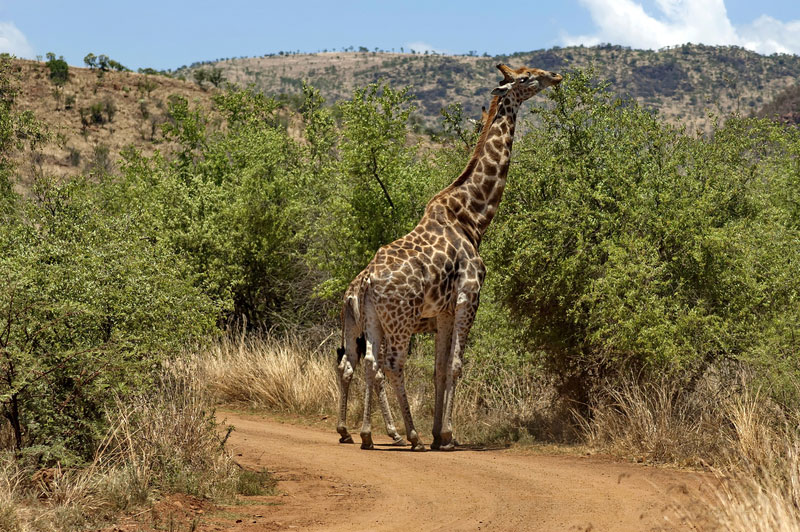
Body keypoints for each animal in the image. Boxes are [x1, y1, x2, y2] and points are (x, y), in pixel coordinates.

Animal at [344, 63, 564, 454]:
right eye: (524, 78)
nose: (554, 76)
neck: (472, 218)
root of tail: (366, 281)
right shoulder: (469, 297)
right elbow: (458, 365)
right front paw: (444, 435)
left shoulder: (444, 311)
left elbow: (440, 368)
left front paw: (440, 434)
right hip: (400, 319)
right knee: (392, 364)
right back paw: (410, 436)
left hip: (371, 320)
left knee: (368, 364)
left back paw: (369, 435)